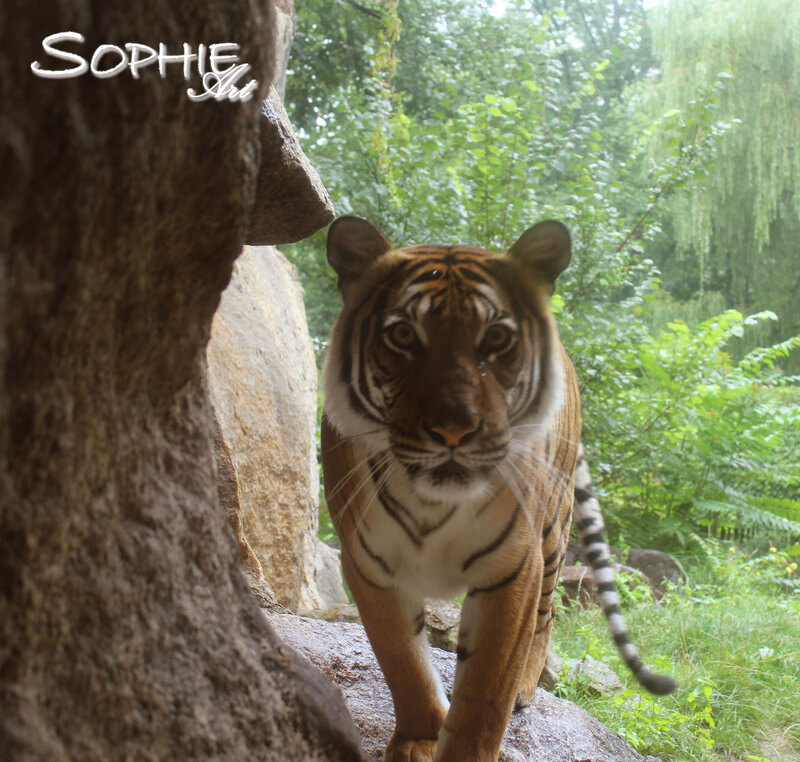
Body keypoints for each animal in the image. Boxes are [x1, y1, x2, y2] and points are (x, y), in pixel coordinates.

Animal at [320, 216, 676, 762]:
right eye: (402, 335)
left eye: (497, 339)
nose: (453, 430)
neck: (433, 503)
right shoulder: (368, 565)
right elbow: (404, 662)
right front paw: (419, 739)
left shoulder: (513, 568)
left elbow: (485, 692)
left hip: (553, 535)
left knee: (546, 618)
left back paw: (529, 684)